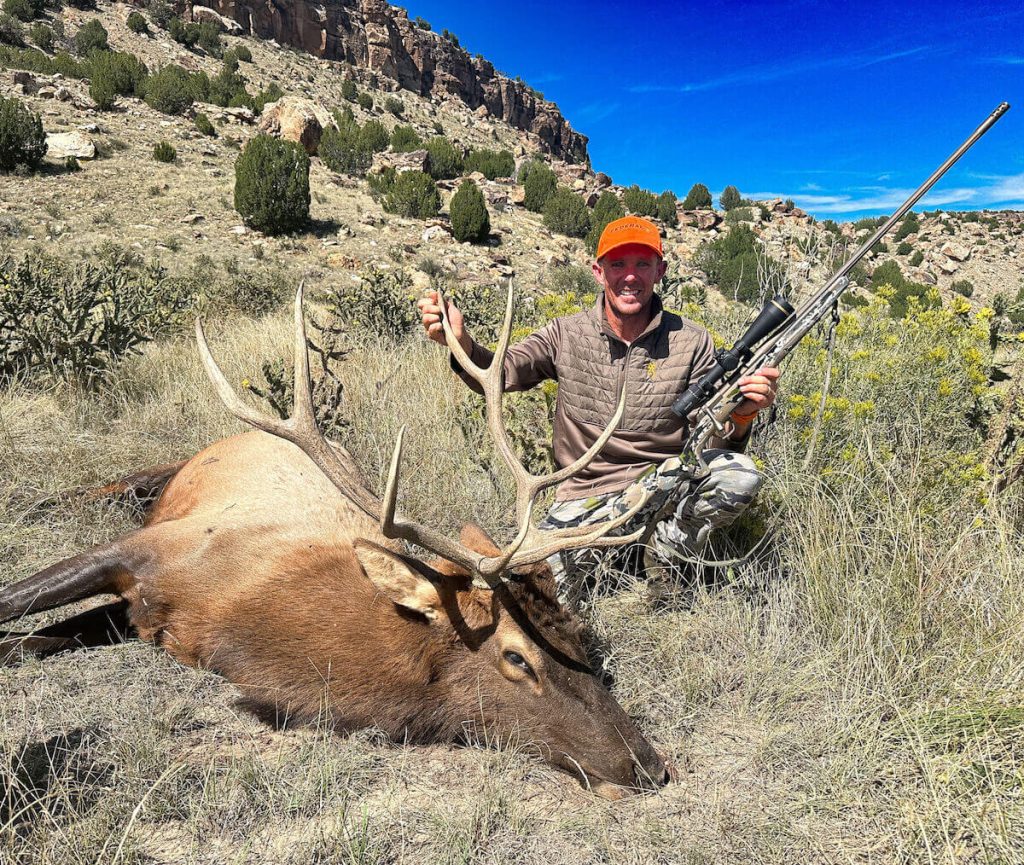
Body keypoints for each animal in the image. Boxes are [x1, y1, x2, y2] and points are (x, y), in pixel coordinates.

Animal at [0, 284, 671, 798]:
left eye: (579, 635)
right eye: (516, 657)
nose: (650, 764)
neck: (234, 621)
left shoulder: (141, 611)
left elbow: (32, 641)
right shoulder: (147, 549)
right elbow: (14, 599)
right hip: (171, 482)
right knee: (128, 480)